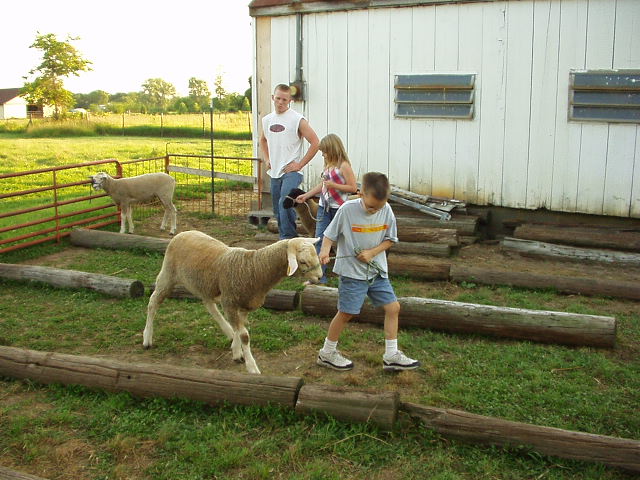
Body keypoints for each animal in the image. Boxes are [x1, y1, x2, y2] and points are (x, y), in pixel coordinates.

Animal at [143, 231, 322, 374]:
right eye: (303, 261)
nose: (320, 276)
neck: (254, 268)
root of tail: (183, 233)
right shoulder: (230, 302)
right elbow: (244, 335)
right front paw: (252, 367)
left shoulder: (243, 305)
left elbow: (240, 330)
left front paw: (236, 352)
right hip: (167, 275)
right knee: (153, 303)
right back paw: (147, 338)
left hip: (205, 284)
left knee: (209, 305)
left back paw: (227, 330)